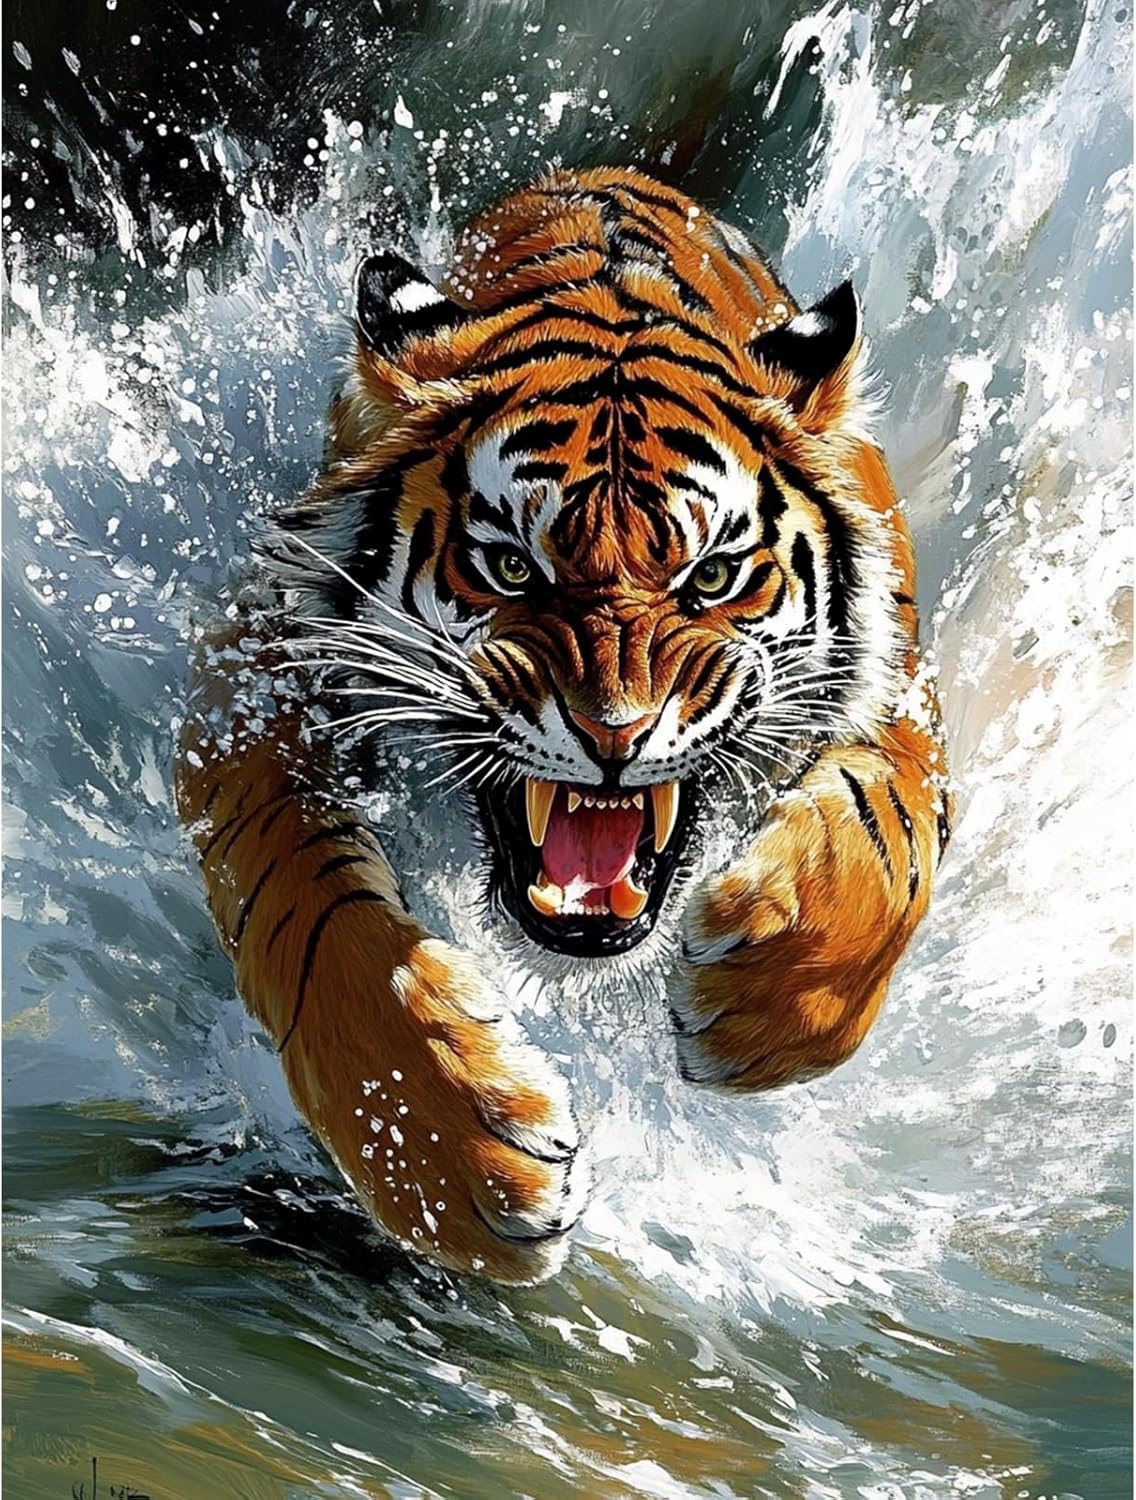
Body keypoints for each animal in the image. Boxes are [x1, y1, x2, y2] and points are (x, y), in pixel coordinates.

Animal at [175, 167, 951, 1284]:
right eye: (510, 568)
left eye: (710, 577)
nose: (613, 734)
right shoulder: (257, 675)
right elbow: (306, 910)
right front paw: (453, 1162)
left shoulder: (895, 689)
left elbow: (887, 845)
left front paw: (758, 1002)